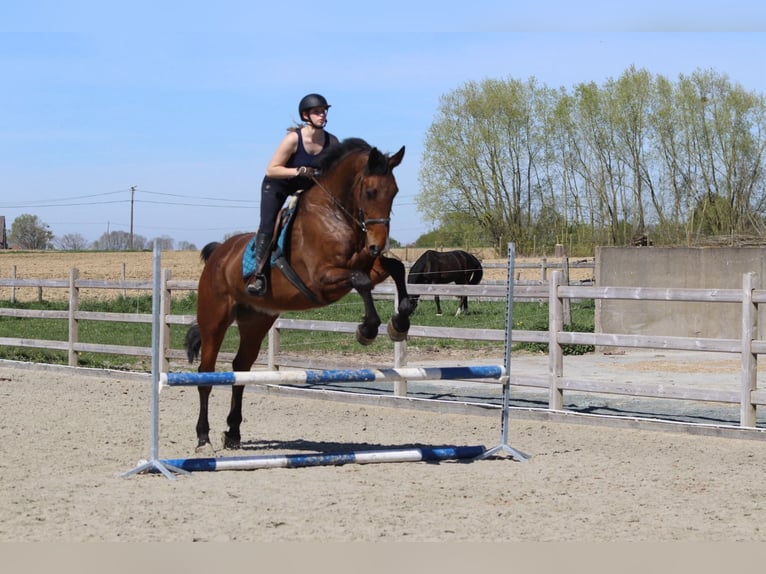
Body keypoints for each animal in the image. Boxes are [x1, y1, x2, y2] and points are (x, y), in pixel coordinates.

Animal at [184, 138, 413, 451]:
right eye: (370, 191)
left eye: (395, 191)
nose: (378, 244)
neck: (336, 215)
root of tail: (218, 254)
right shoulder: (321, 279)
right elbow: (361, 281)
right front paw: (367, 329)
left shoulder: (370, 264)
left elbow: (396, 268)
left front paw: (400, 323)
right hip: (215, 320)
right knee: (206, 373)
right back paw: (203, 437)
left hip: (256, 321)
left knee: (240, 368)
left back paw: (232, 433)